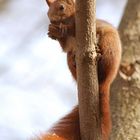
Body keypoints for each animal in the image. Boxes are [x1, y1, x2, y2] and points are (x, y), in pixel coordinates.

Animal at [39, 0, 121, 139]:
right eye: (47, 13)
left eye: (62, 7)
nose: (52, 21)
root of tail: (106, 82)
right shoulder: (67, 45)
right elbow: (65, 46)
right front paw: (54, 32)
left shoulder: (88, 27)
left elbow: (73, 30)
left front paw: (62, 30)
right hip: (70, 60)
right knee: (70, 56)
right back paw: (74, 62)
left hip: (109, 44)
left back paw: (99, 55)